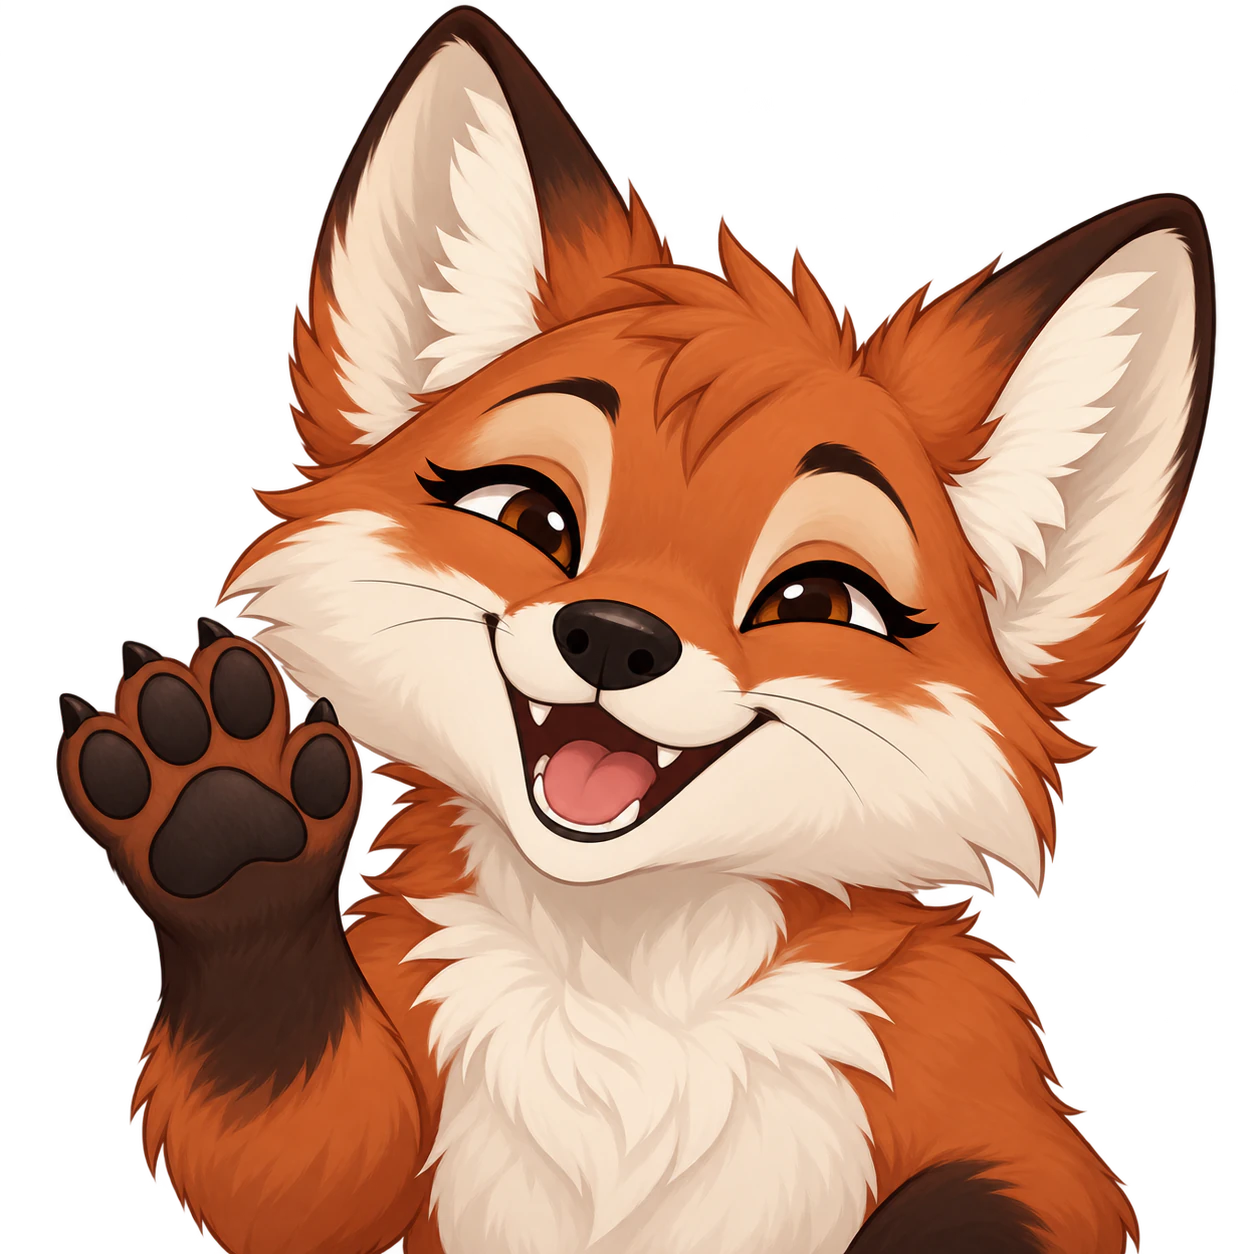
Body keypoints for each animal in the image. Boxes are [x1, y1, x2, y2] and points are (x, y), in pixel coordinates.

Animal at [53, 5, 1218, 1254]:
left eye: (818, 604)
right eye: (530, 518)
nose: (615, 638)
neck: (625, 1005)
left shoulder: (991, 1096)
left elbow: (1020, 1194)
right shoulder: (370, 1114)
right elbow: (288, 1145)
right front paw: (226, 815)